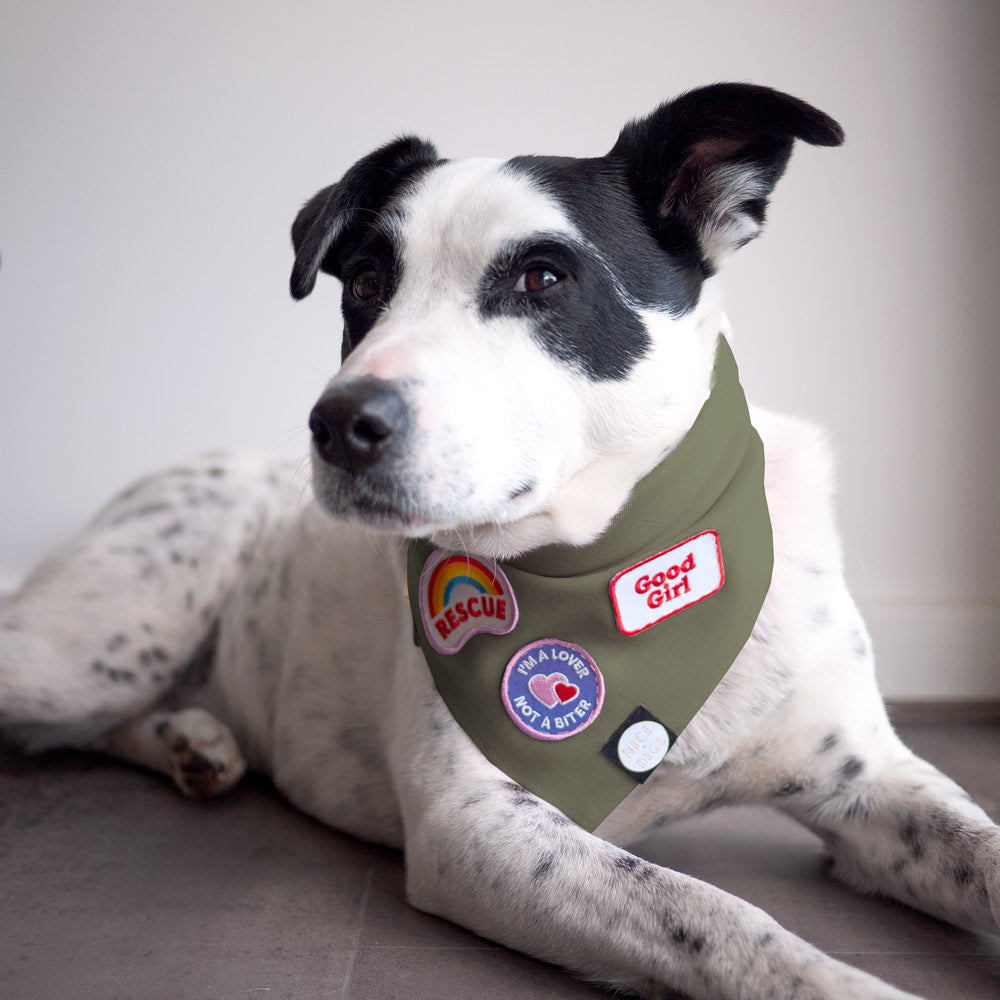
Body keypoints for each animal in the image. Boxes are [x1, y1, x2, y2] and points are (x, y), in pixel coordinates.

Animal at [0, 86, 996, 1000]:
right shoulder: (482, 827)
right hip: (93, 650)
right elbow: (719, 915)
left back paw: (194, 741)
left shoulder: (870, 780)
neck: (632, 571)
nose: (338, 425)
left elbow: (978, 847)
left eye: (543, 279)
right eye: (366, 282)